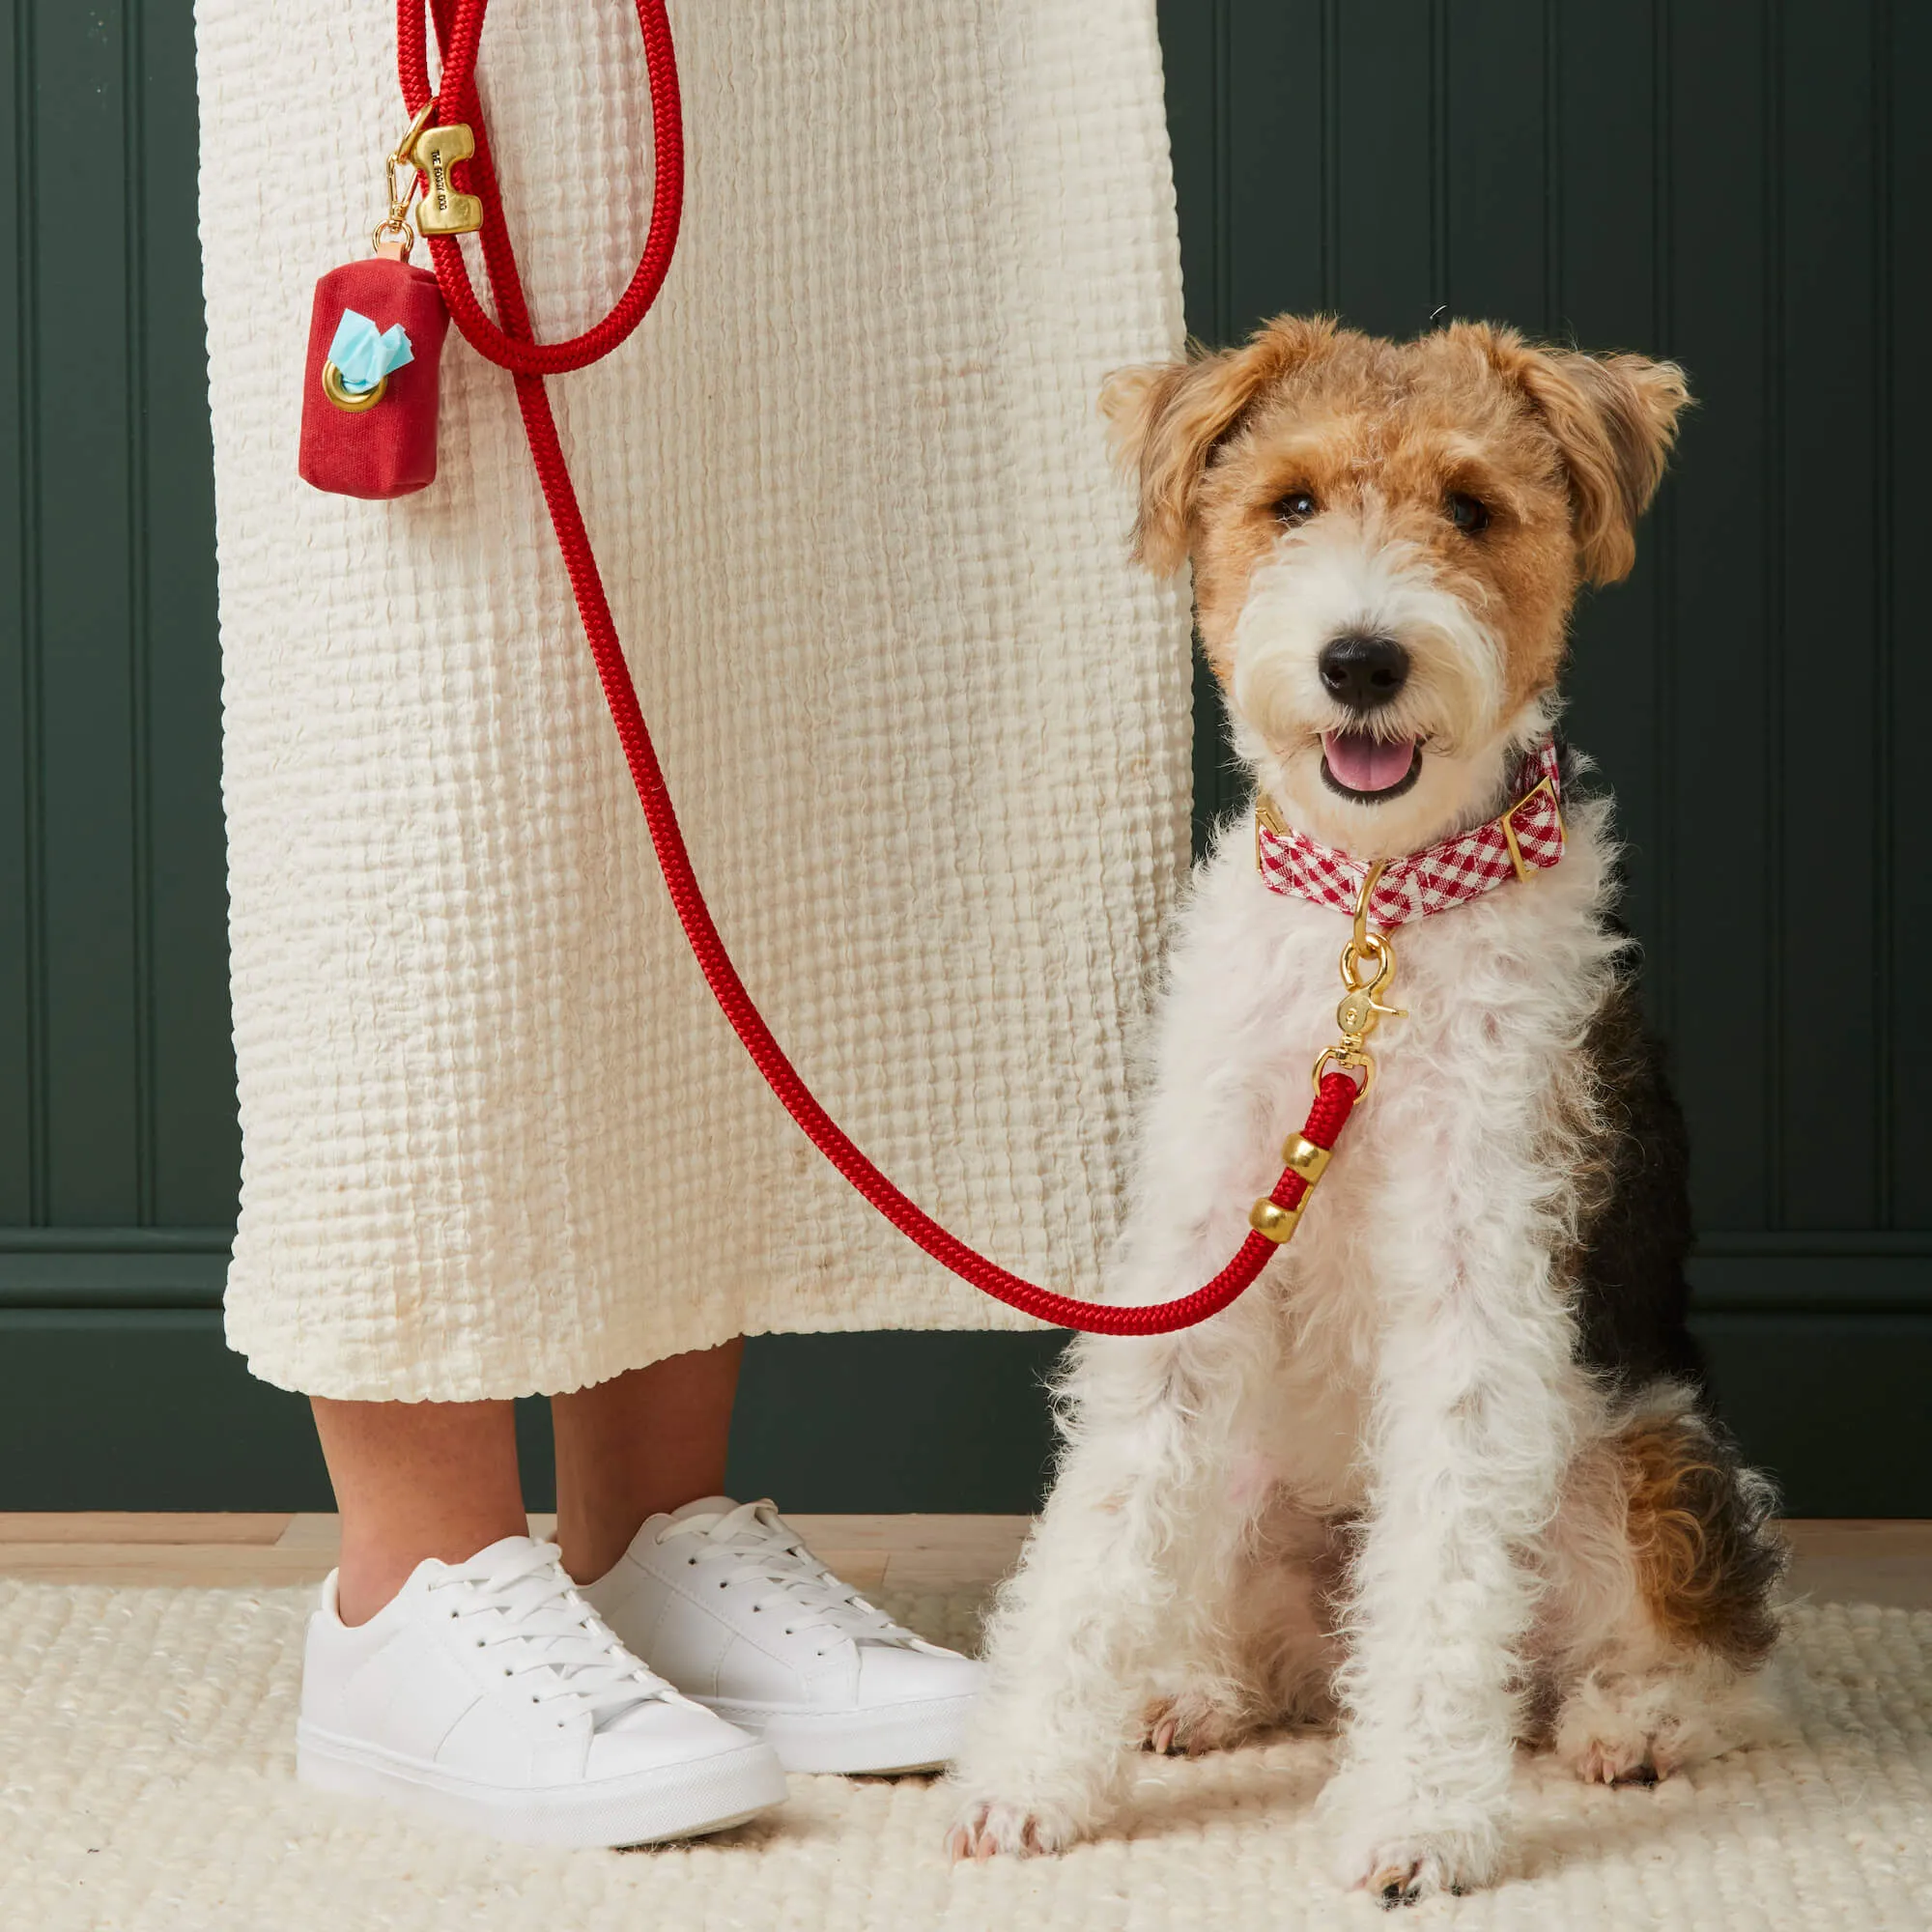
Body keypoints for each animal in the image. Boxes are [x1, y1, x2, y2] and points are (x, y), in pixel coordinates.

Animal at [947, 317, 1777, 1901]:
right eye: (1288, 501)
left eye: (1471, 506)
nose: (1361, 660)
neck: (1373, 924)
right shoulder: (1195, 1253)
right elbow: (1097, 1534)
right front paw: (1025, 1778)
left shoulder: (1476, 1283)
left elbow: (1445, 1577)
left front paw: (1413, 1824)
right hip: (1254, 1472)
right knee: (1274, 1642)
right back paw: (1192, 1688)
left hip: (1650, 1458)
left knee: (1709, 1641)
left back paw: (1635, 1721)